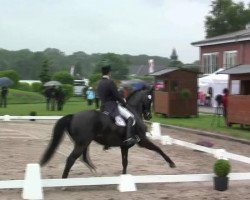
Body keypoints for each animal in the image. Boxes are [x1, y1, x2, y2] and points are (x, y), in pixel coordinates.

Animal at [40, 88, 176, 177]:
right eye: (150, 100)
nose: (149, 116)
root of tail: (73, 116)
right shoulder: (142, 141)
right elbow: (158, 149)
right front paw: (172, 163)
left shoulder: (124, 146)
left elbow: (125, 162)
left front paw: (124, 177)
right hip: (82, 143)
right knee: (71, 159)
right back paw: (65, 182)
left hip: (83, 143)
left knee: (83, 157)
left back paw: (95, 171)